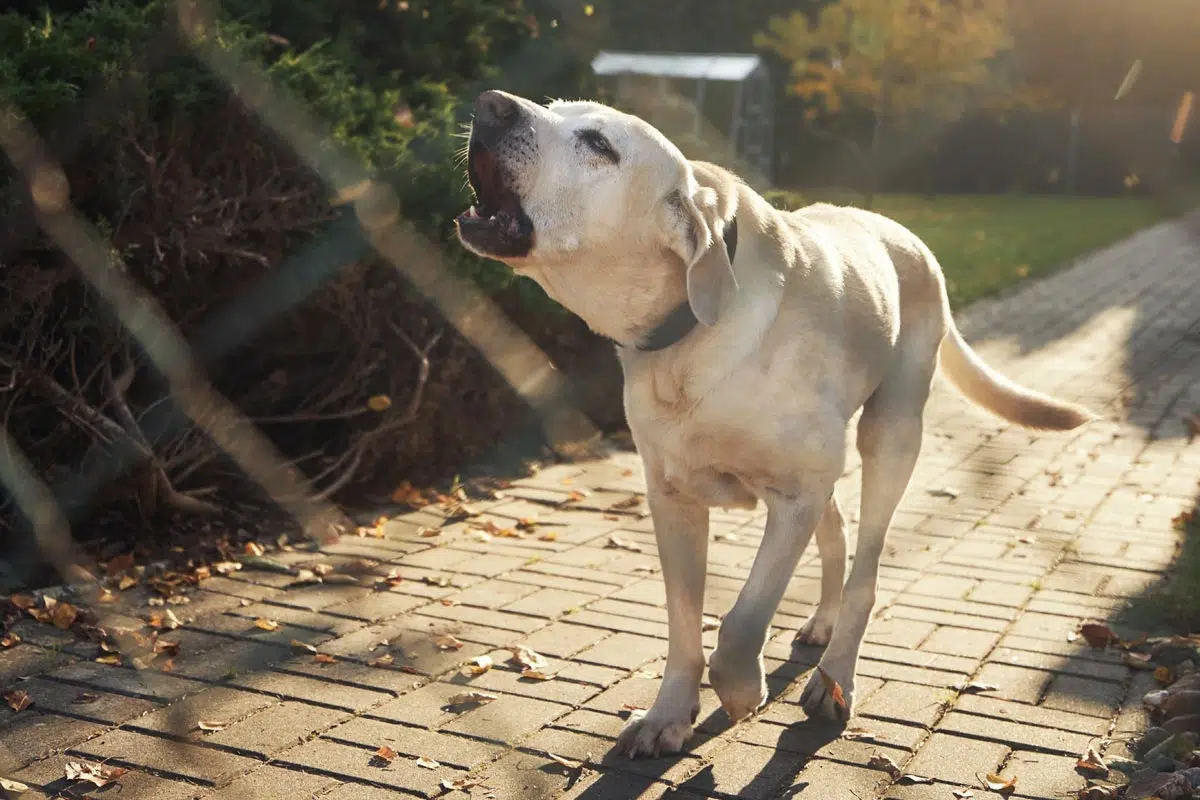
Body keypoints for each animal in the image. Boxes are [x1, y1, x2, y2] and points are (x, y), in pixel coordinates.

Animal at [453, 90, 1094, 762]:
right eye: (553, 109)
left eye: (599, 144)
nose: (492, 104)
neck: (692, 334)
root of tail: (907, 236)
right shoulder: (674, 500)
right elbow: (684, 621)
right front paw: (668, 715)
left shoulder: (793, 497)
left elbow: (741, 621)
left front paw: (739, 691)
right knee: (837, 536)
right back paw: (822, 624)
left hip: (890, 436)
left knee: (865, 569)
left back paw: (835, 676)